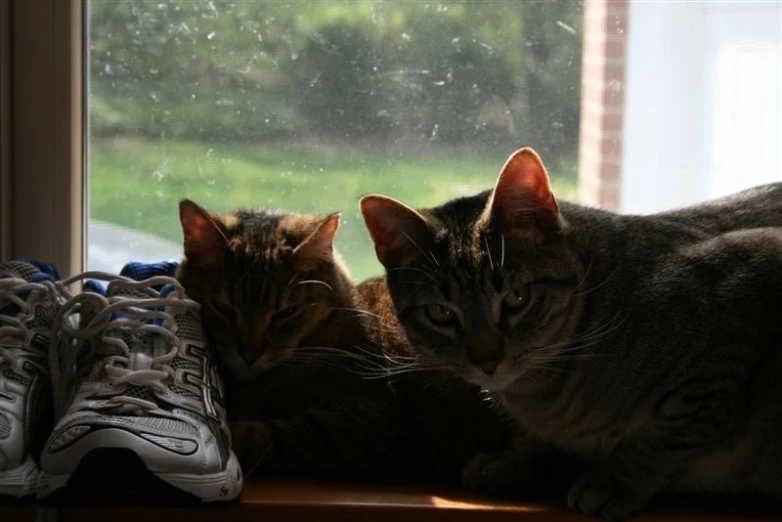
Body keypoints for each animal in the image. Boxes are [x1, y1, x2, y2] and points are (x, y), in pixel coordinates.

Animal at [360, 147, 782, 520]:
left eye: (516, 298)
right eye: (441, 313)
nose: (488, 360)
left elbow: (666, 434)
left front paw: (616, 481)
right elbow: (534, 439)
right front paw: (513, 459)